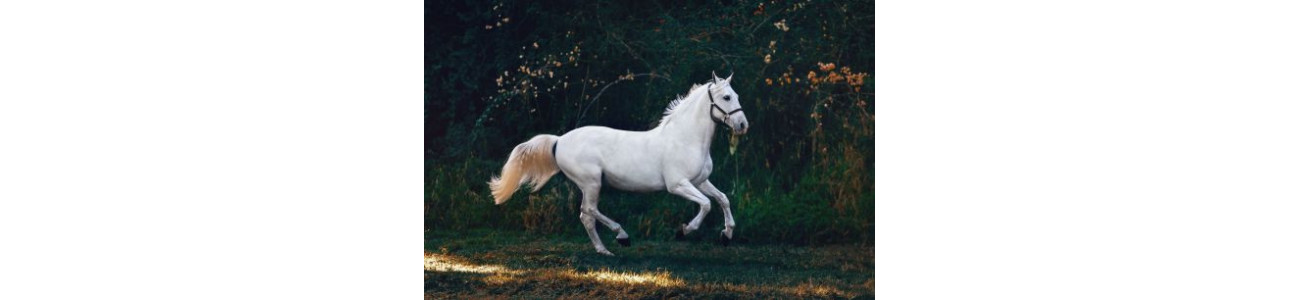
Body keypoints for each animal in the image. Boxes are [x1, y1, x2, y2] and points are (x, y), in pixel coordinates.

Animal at [488, 72, 754, 255]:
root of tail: (559, 141)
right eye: (727, 97)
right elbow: (706, 204)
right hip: (592, 182)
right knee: (589, 211)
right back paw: (622, 237)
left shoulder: (700, 181)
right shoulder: (678, 185)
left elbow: (722, 199)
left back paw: (604, 250)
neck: (685, 138)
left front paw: (726, 235)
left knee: (586, 215)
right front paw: (684, 231)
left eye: (738, 96)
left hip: (590, 185)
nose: (742, 125)